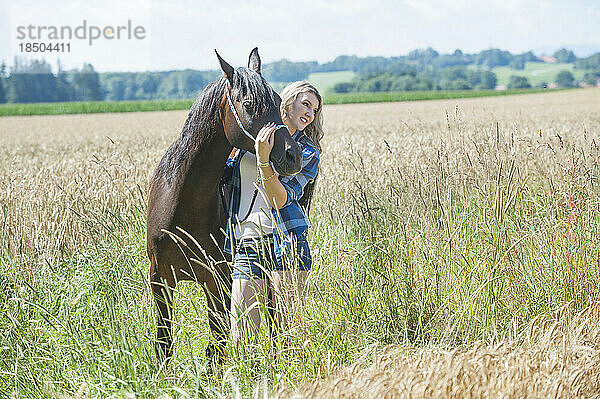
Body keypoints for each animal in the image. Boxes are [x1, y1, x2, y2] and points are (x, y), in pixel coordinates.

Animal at [146, 47, 300, 362]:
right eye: (249, 104)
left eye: (279, 101)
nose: (294, 155)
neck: (184, 206)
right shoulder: (160, 277)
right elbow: (164, 343)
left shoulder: (218, 280)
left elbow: (216, 345)